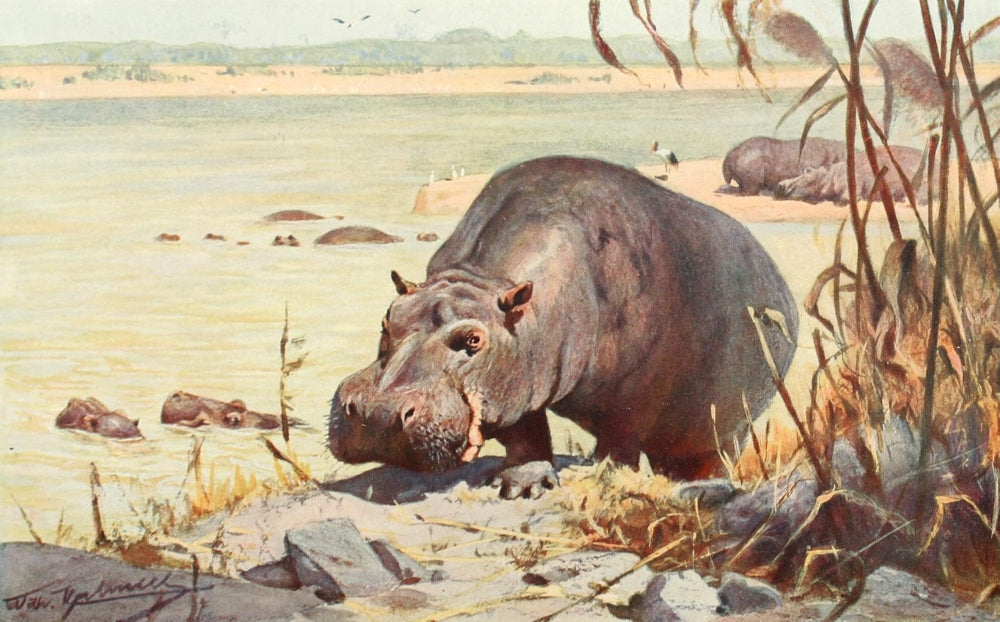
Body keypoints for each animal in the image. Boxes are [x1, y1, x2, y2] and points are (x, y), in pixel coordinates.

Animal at [328, 156, 799, 498]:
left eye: (473, 339)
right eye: (387, 319)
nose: (375, 412)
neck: (488, 282)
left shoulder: (633, 396)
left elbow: (619, 442)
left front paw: (600, 476)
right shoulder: (519, 379)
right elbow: (524, 433)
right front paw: (522, 483)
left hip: (729, 429)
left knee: (710, 459)